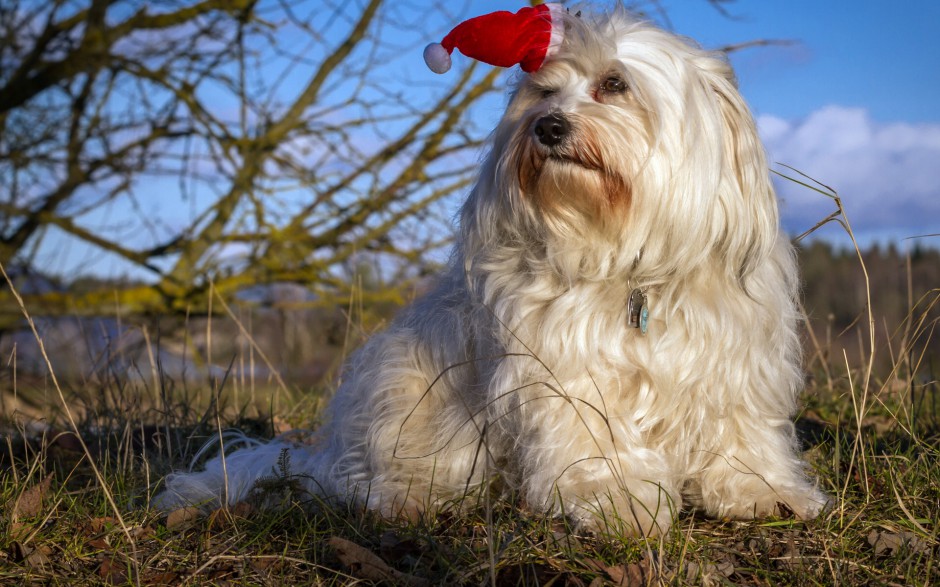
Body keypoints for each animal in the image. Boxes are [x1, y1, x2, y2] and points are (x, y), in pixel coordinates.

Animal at [156, 5, 828, 536]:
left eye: (614, 83)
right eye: (543, 93)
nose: (547, 127)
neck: (627, 265)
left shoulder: (732, 360)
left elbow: (740, 432)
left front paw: (762, 490)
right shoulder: (569, 375)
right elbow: (597, 445)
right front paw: (617, 502)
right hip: (401, 393)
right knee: (362, 482)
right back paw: (405, 499)